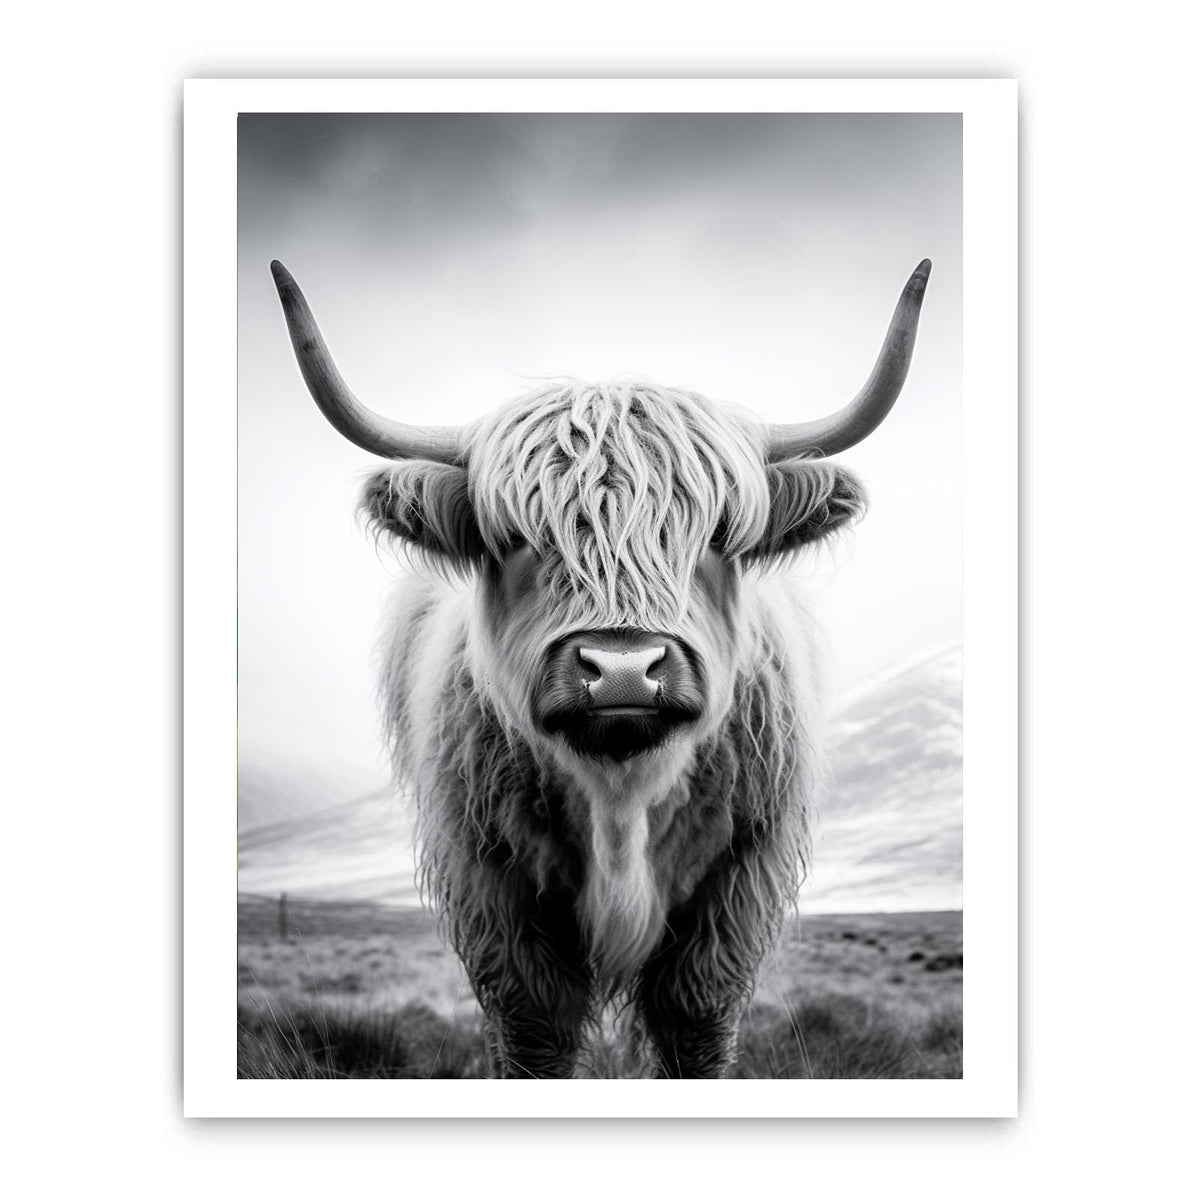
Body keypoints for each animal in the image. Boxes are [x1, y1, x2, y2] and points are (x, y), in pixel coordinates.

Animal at [270, 258, 931, 1078]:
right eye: (516, 538)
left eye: (717, 533)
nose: (622, 669)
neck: (621, 798)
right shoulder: (493, 887)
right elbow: (534, 1033)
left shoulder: (736, 885)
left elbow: (694, 1025)